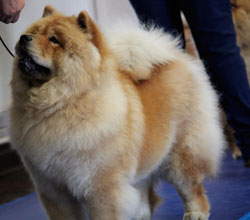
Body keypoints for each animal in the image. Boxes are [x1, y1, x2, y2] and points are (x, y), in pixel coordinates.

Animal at [9, 5, 225, 220]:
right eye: (34, 32)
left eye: (54, 40)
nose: (24, 37)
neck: (61, 105)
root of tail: (176, 59)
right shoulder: (53, 190)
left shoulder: (101, 187)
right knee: (145, 196)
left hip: (179, 155)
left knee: (192, 188)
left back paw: (196, 213)